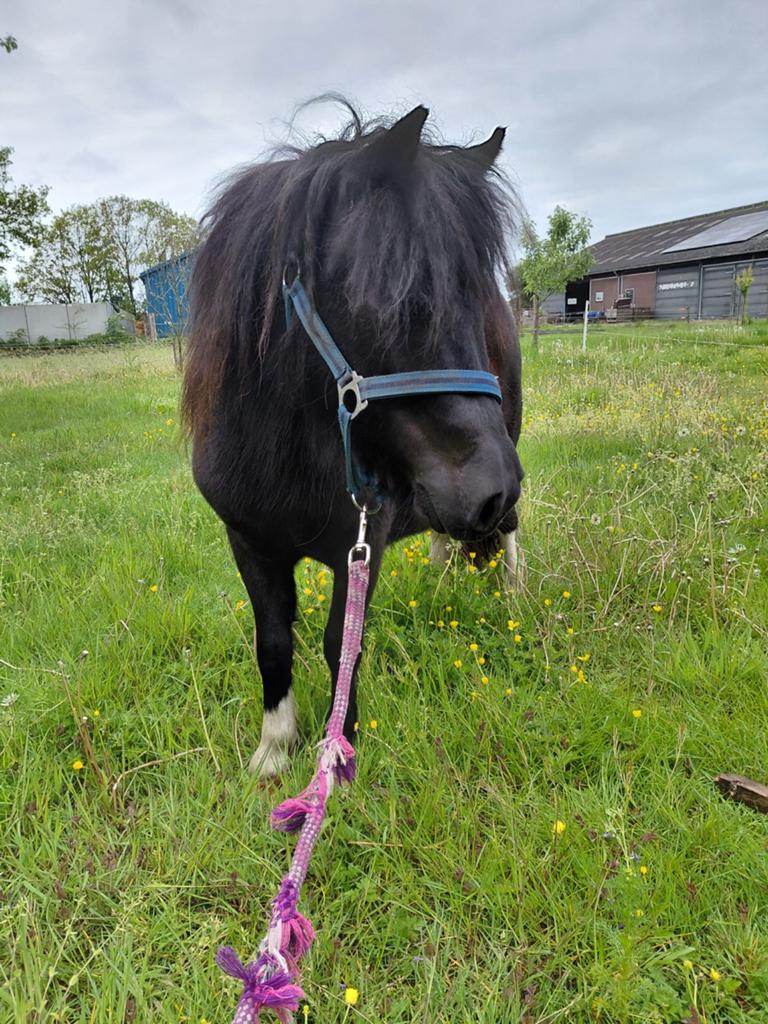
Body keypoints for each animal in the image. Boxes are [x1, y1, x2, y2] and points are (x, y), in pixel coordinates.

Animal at [182, 102, 524, 778]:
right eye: (398, 298)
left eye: (477, 301)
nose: (492, 490)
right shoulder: (248, 542)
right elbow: (273, 640)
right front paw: (275, 749)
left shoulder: (362, 542)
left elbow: (342, 643)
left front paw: (338, 755)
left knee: (510, 540)